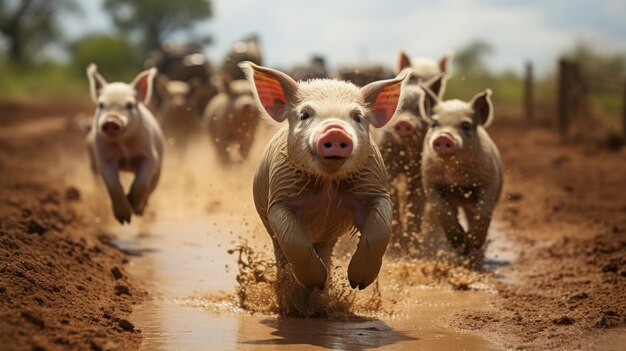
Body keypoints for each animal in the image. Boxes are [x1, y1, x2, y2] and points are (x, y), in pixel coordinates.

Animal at [84, 65, 163, 226]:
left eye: (129, 105)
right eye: (101, 105)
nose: (111, 121)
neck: (124, 147)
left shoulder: (150, 156)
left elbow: (141, 183)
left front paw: (133, 207)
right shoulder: (104, 159)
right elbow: (113, 186)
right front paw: (124, 220)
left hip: (159, 169)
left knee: (151, 188)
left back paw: (139, 211)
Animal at [238, 61, 404, 302]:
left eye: (357, 117)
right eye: (305, 114)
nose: (335, 131)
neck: (328, 184)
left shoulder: (376, 188)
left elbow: (379, 231)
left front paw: (358, 284)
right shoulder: (278, 197)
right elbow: (293, 239)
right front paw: (314, 282)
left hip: (329, 237)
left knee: (325, 249)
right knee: (282, 252)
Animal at [376, 73, 444, 253]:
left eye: (420, 109)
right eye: (399, 108)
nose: (404, 122)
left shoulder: (419, 172)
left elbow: (416, 201)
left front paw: (413, 247)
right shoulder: (388, 164)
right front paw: (397, 247)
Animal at [420, 88, 502, 258]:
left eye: (465, 126)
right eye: (434, 124)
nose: (444, 136)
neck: (456, 177)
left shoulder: (490, 179)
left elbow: (484, 210)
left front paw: (471, 244)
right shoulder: (429, 181)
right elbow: (441, 209)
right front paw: (458, 242)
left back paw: (473, 254)